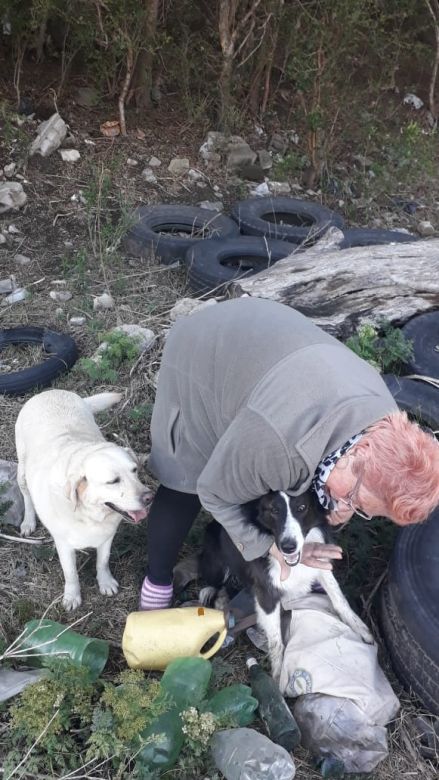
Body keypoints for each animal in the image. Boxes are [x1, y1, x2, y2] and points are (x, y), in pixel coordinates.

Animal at [15, 388, 153, 608]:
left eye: (134, 470)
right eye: (113, 481)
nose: (150, 497)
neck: (89, 515)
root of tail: (50, 391)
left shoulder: (107, 537)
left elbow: (102, 562)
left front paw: (105, 582)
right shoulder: (64, 546)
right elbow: (70, 573)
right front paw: (72, 596)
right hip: (22, 471)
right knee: (26, 495)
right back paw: (28, 521)